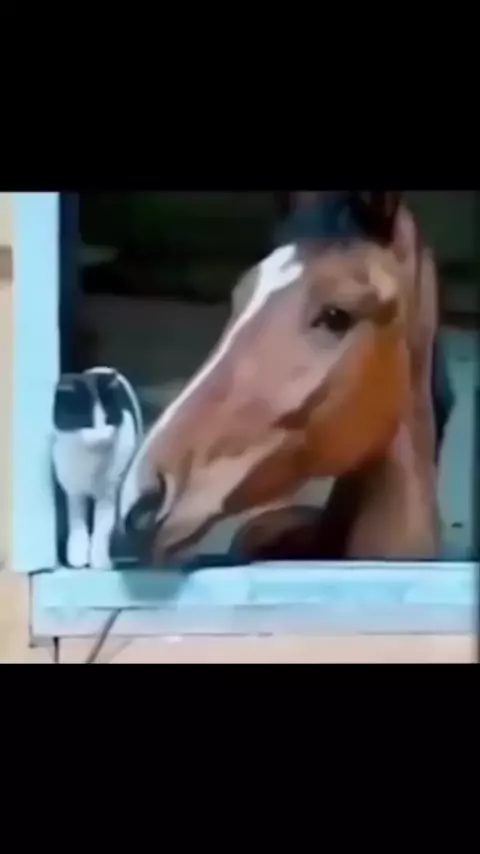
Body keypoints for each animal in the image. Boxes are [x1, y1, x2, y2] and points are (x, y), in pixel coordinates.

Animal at [52, 367, 143, 569]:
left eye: (108, 420)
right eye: (86, 422)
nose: (101, 438)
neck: (91, 461)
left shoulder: (109, 494)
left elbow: (102, 527)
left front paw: (99, 559)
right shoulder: (74, 493)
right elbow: (77, 523)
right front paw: (77, 556)